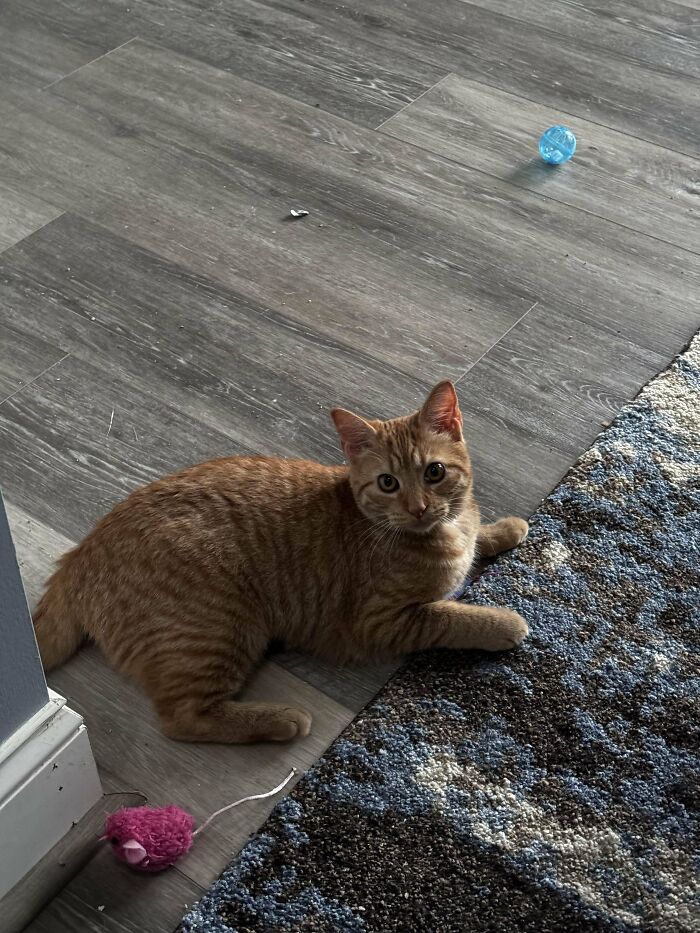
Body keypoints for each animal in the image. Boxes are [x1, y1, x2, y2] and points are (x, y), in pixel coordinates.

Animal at [31, 380, 524, 744]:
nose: (418, 508)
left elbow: (478, 537)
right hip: (220, 627)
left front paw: (504, 529)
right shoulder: (381, 621)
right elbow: (450, 616)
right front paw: (502, 622)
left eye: (434, 473)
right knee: (180, 718)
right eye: (388, 483)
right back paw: (280, 720)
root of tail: (80, 554)